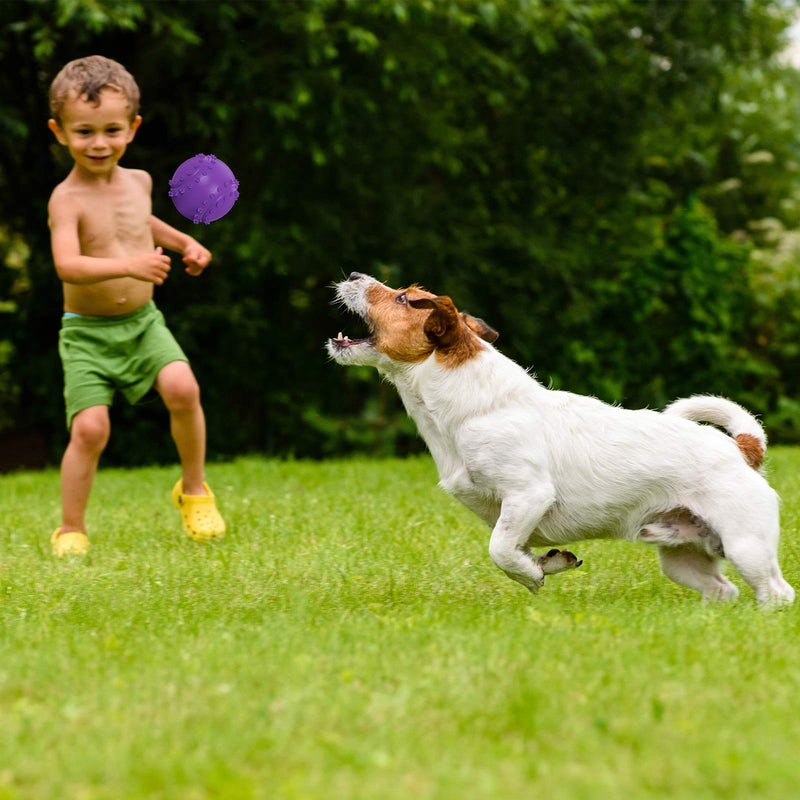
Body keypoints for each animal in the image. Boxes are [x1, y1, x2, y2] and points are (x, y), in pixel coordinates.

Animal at [328, 272, 796, 604]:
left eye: (403, 298)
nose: (352, 273)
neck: (474, 405)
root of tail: (742, 448)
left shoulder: (528, 495)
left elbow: (500, 549)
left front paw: (533, 573)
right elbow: (517, 548)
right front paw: (549, 562)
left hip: (746, 545)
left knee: (777, 591)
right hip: (682, 557)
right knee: (722, 589)